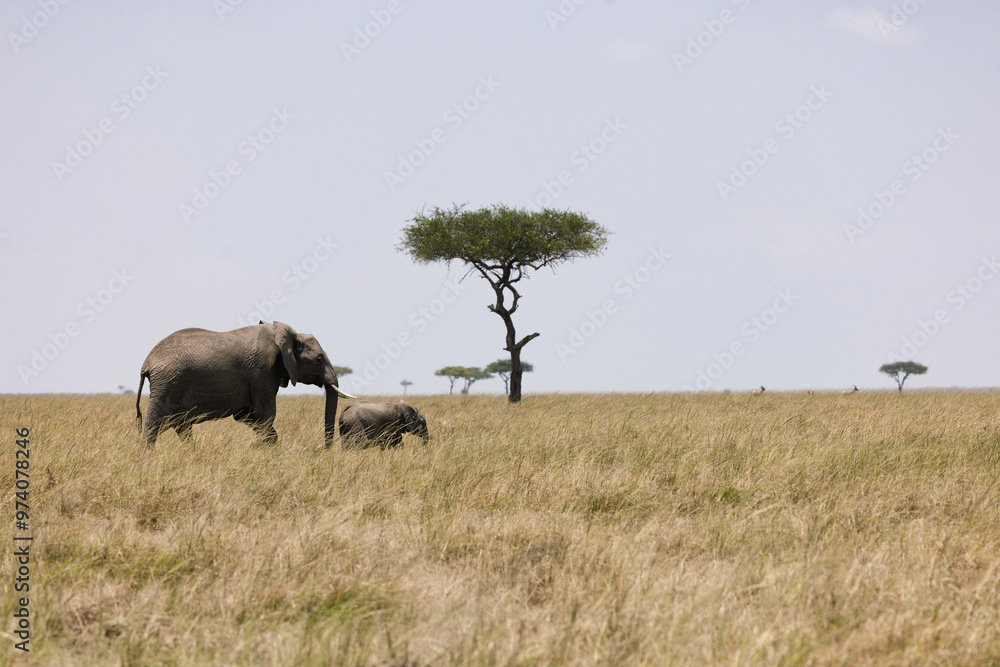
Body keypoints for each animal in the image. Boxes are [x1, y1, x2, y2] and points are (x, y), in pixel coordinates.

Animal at [135, 321, 356, 447]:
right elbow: (265, 414)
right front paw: (263, 448)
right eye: (319, 359)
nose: (324, 450)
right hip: (167, 385)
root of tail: (147, 364)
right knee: (153, 427)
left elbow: (247, 415)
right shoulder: (262, 371)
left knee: (182, 426)